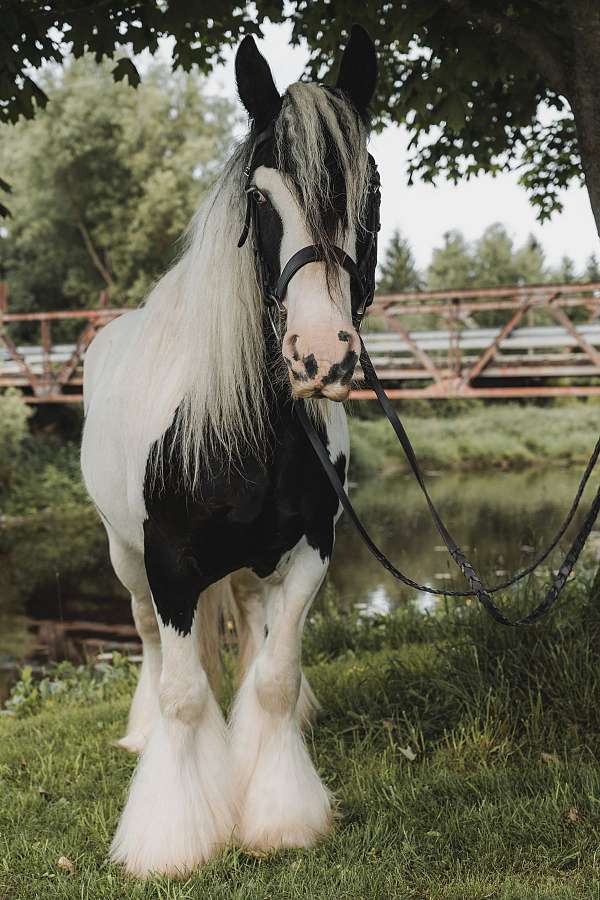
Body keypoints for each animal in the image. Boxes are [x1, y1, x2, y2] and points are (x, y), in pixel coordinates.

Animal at [81, 26, 378, 872]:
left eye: (369, 189)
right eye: (260, 198)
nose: (321, 354)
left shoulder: (310, 550)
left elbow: (274, 677)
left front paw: (279, 814)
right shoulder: (169, 563)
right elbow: (183, 692)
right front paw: (171, 840)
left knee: (249, 632)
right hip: (123, 554)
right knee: (152, 645)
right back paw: (143, 735)